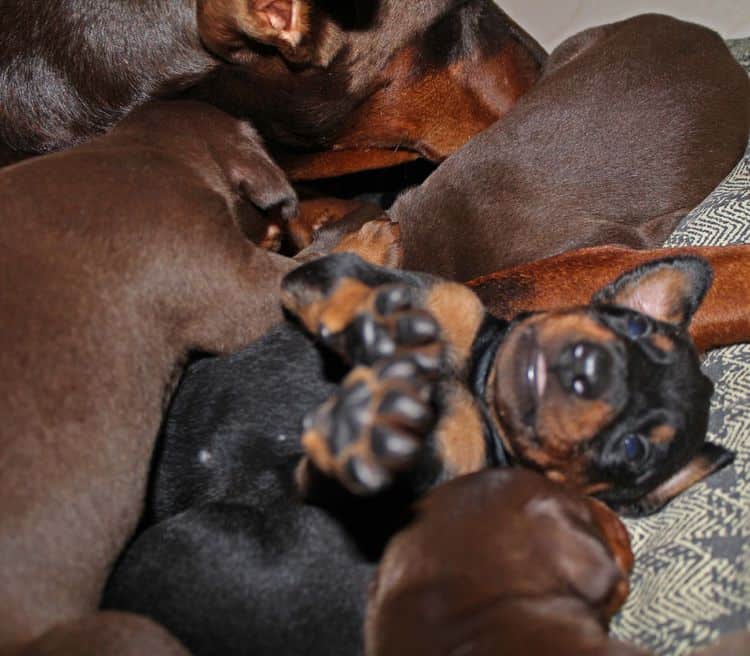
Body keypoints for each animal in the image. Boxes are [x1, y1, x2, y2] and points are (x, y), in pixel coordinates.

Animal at [103, 252, 732, 656]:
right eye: (630, 326)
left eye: (633, 449)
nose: (591, 369)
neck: (473, 381)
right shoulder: (385, 285)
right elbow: (362, 285)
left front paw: (381, 425)